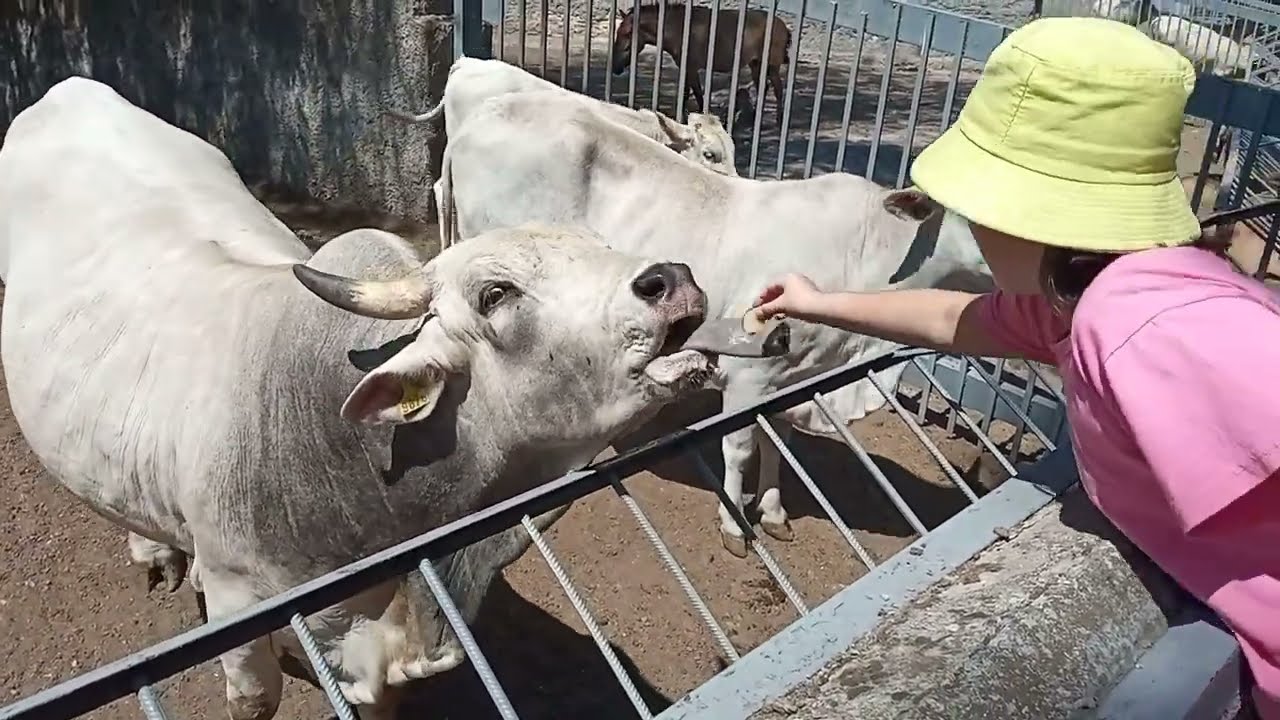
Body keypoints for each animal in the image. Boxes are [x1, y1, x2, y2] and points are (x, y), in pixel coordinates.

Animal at [0, 77, 721, 720]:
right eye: (495, 293)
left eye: (601, 246)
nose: (671, 278)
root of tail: (69, 89)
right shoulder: (240, 606)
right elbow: (253, 697)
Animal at [438, 90, 993, 558]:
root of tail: (476, 123)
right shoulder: (749, 378)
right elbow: (740, 447)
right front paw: (734, 526)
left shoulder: (789, 378)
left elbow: (776, 443)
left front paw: (773, 512)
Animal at [610, 0, 791, 126]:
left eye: (627, 37)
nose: (615, 69)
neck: (679, 28)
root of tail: (783, 26)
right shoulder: (686, 68)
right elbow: (686, 93)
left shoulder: (691, 68)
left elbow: (697, 94)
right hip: (756, 64)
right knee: (764, 87)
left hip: (771, 66)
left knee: (778, 89)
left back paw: (778, 120)